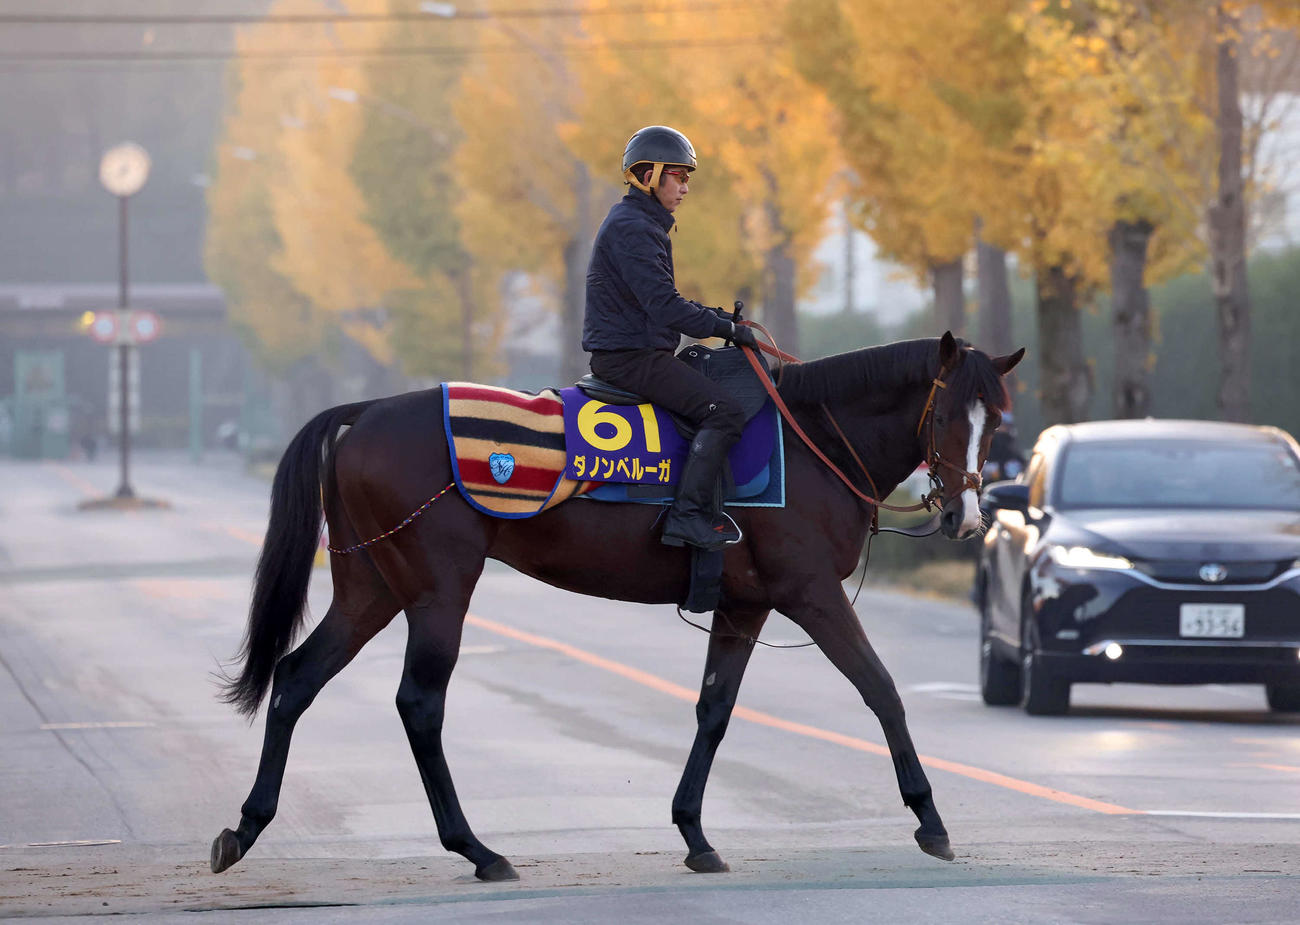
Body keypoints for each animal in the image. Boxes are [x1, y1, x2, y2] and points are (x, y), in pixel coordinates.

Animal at [211, 331, 1023, 881]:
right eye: (946, 416)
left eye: (998, 422)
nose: (966, 518)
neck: (813, 437)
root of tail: (365, 412)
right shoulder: (812, 594)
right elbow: (881, 689)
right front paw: (929, 816)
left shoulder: (744, 606)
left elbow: (714, 711)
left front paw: (694, 832)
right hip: (439, 591)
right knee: (419, 704)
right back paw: (476, 848)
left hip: (370, 588)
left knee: (296, 678)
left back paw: (246, 827)